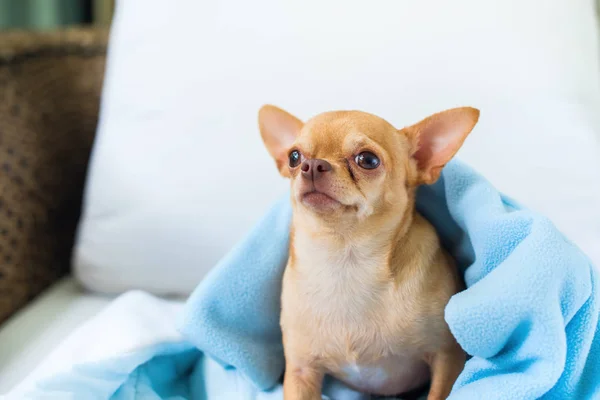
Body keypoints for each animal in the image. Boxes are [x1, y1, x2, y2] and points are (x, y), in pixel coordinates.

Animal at [258, 104, 478, 398]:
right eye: (293, 156)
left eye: (368, 160)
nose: (312, 164)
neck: (345, 261)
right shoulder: (301, 371)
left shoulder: (447, 358)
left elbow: (439, 393)